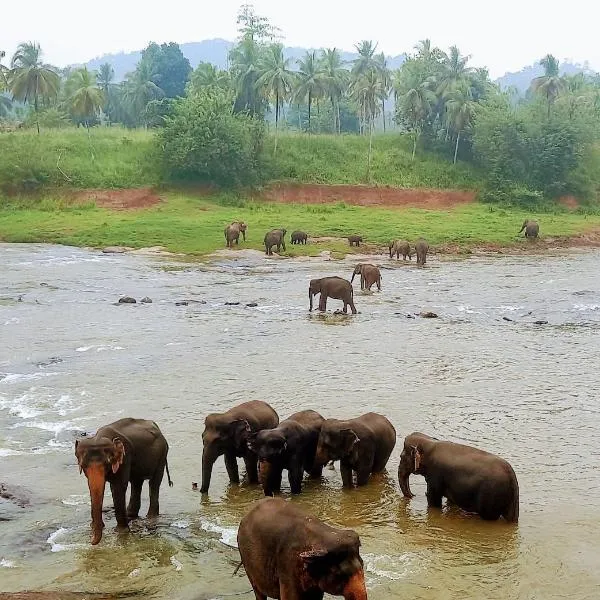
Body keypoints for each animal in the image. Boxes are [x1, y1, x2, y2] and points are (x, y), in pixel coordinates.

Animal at [74, 420, 172, 548]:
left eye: (107, 463)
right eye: (83, 465)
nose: (91, 541)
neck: (99, 437)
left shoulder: (124, 458)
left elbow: (118, 487)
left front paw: (121, 531)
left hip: (161, 455)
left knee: (154, 483)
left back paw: (150, 519)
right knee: (137, 482)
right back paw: (131, 515)